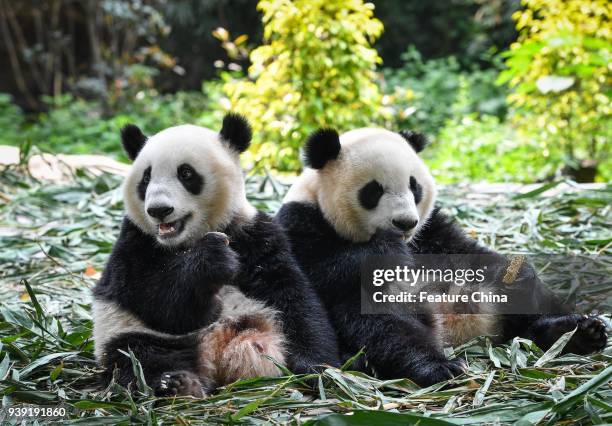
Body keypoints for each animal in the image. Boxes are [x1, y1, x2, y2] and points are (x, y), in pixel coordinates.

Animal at [93, 115, 340, 398]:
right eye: (146, 178)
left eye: (186, 173)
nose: (158, 210)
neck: (185, 240)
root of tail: (214, 352)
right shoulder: (135, 240)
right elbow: (153, 296)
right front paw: (213, 263)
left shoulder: (254, 234)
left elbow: (292, 296)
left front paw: (316, 369)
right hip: (127, 331)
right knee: (139, 357)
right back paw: (178, 383)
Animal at [276, 125, 608, 386]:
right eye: (373, 190)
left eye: (414, 186)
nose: (404, 223)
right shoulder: (302, 225)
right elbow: (329, 271)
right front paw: (387, 250)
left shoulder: (431, 229)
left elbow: (466, 252)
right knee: (385, 325)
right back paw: (437, 367)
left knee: (527, 308)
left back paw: (576, 332)